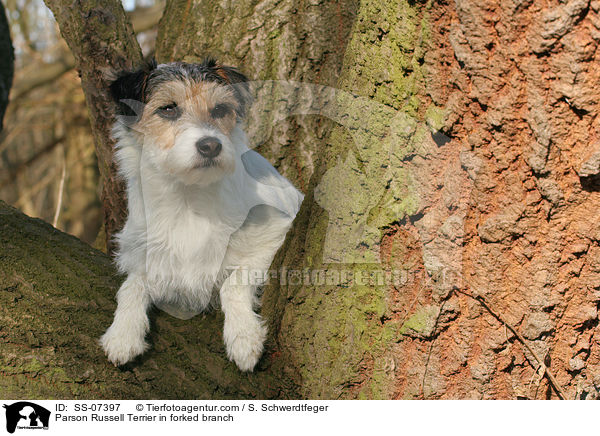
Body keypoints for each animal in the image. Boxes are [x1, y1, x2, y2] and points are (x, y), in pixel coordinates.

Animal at [101, 58, 304, 372]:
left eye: (219, 109)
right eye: (168, 109)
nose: (210, 145)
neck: (189, 197)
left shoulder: (274, 235)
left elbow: (233, 282)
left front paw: (243, 337)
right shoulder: (145, 254)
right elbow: (131, 286)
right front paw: (123, 334)